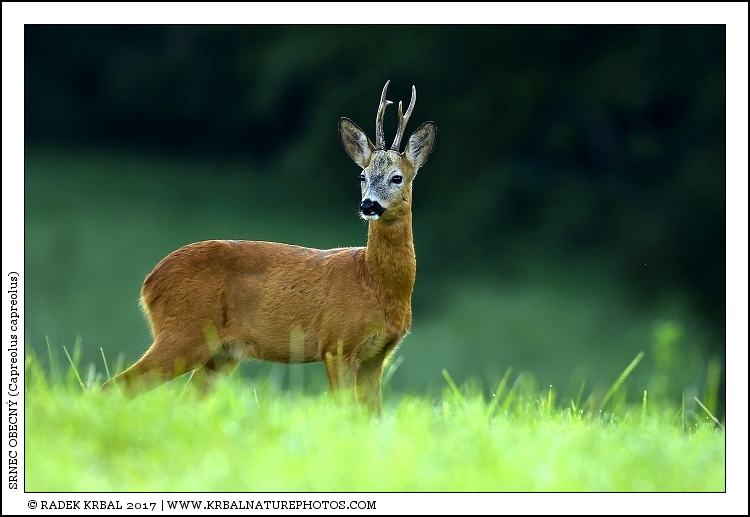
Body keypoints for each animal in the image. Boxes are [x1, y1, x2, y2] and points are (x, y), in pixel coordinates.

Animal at [101, 81, 437, 414]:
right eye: (363, 175)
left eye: (397, 177)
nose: (369, 205)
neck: (374, 282)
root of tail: (149, 283)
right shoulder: (337, 343)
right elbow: (345, 411)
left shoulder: (375, 355)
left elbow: (372, 417)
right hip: (183, 333)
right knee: (116, 386)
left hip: (221, 354)